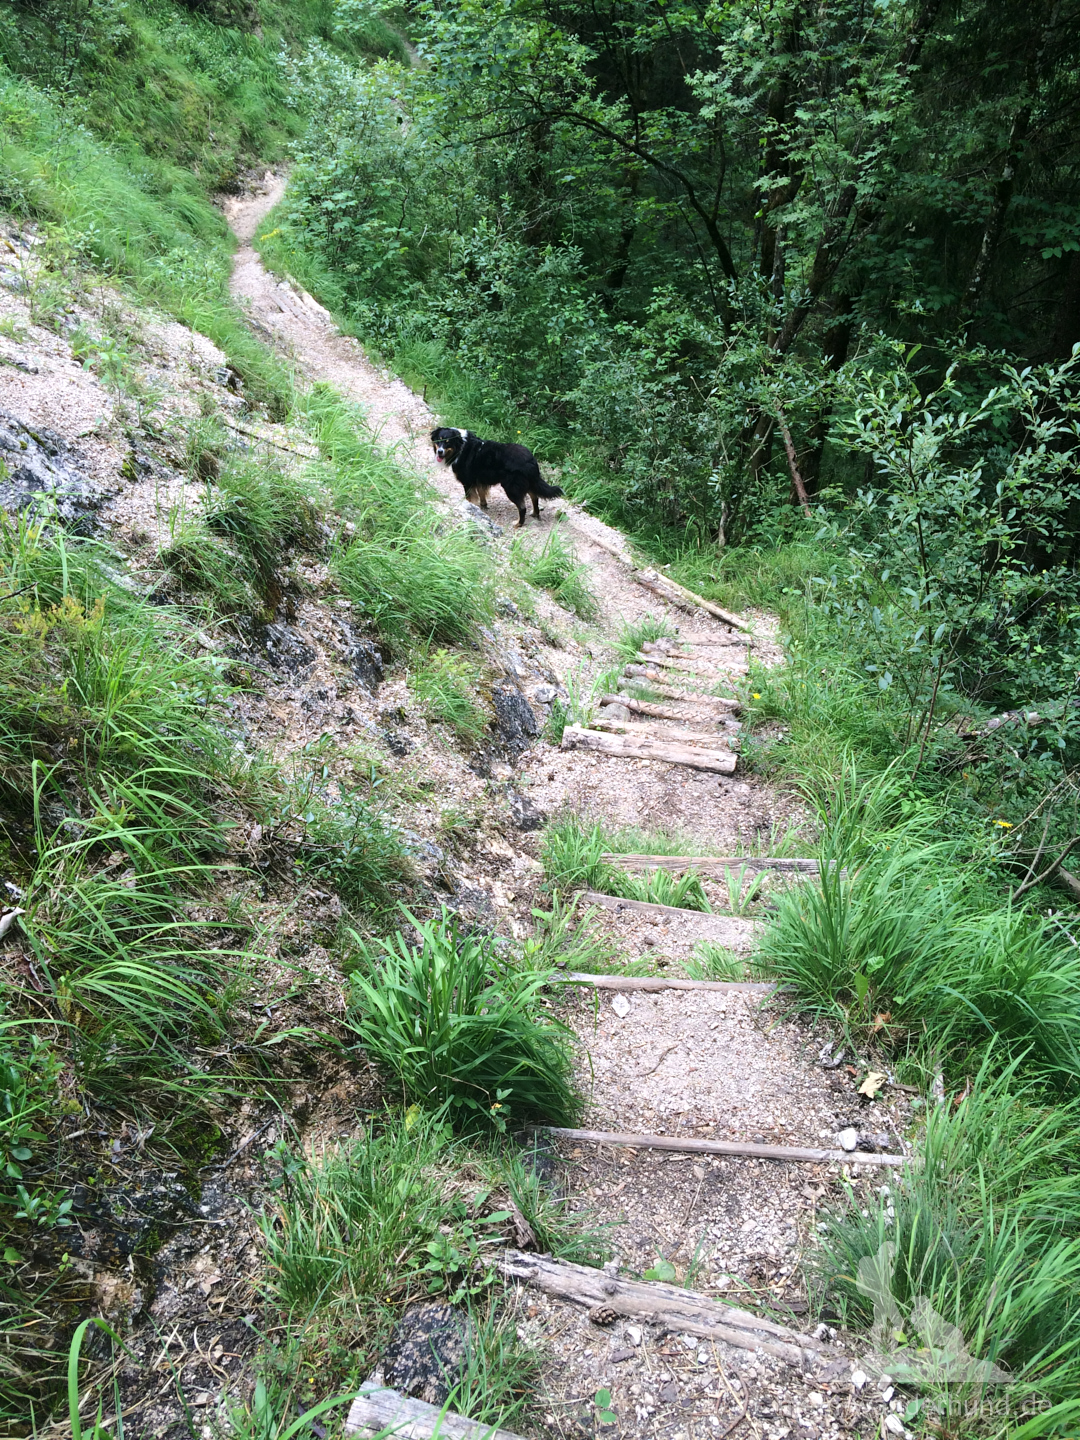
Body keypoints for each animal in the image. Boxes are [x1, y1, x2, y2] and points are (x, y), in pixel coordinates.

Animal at [432, 426, 567, 529]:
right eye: (439, 440)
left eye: (448, 442)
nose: (439, 451)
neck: (460, 446)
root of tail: (531, 460)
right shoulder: (479, 480)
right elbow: (481, 494)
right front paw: (482, 506)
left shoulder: (467, 481)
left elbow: (470, 498)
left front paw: (470, 508)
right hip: (528, 483)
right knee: (535, 497)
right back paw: (534, 514)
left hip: (511, 487)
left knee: (522, 507)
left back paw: (518, 524)